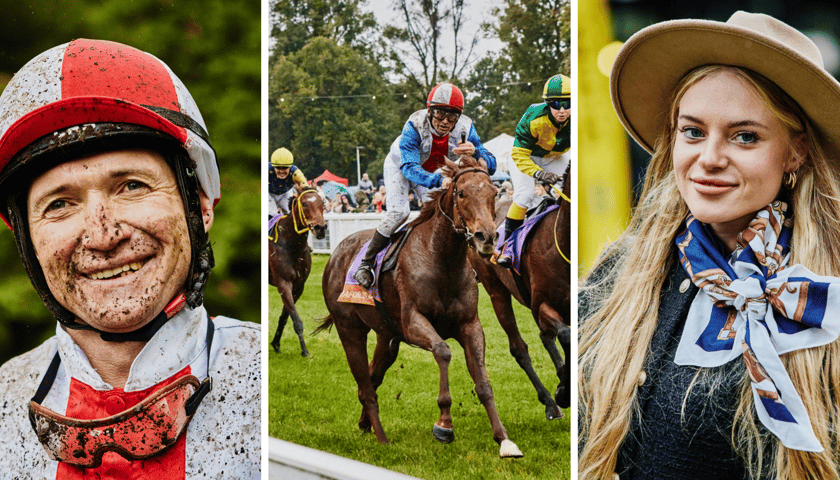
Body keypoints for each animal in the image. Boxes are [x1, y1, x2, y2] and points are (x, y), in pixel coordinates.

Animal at [270, 185, 324, 356]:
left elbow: (285, 316)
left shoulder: (298, 286)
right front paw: (305, 351)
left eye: (323, 203)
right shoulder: (283, 282)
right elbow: (296, 320)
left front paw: (276, 343)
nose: (321, 228)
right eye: (305, 204)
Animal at [318, 157, 520, 458]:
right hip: (349, 329)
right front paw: (444, 424)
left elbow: (483, 383)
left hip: (386, 336)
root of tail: (336, 255)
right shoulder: (414, 322)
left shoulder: (470, 325)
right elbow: (443, 351)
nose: (487, 237)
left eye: (494, 193)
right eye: (462, 193)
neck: (442, 260)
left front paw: (504, 440)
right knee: (366, 386)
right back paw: (382, 438)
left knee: (372, 378)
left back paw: (366, 424)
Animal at [472, 168, 572, 420]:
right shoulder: (542, 305)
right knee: (519, 347)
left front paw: (563, 380)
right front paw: (563, 391)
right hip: (496, 291)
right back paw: (549, 401)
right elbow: (565, 334)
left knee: (545, 337)